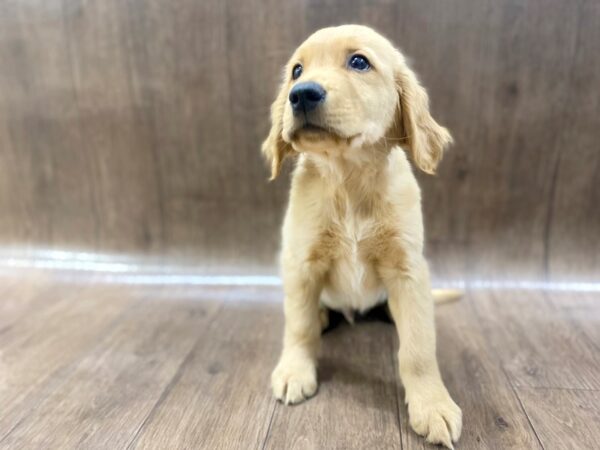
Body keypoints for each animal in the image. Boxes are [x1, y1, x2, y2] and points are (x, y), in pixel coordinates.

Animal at [260, 25, 462, 450]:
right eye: (297, 70)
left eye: (358, 62)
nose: (301, 94)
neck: (347, 180)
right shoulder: (301, 263)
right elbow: (298, 326)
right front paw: (295, 371)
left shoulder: (408, 271)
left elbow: (418, 348)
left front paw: (432, 404)